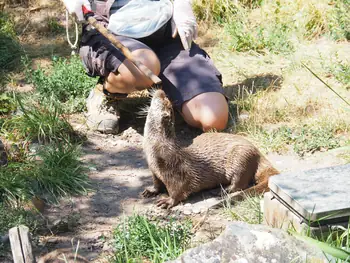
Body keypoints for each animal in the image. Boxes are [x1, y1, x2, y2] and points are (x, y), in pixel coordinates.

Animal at [141, 89, 280, 209]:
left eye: (164, 99)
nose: (161, 91)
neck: (157, 149)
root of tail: (258, 153)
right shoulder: (154, 170)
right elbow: (157, 183)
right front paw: (151, 191)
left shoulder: (176, 169)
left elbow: (178, 189)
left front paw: (168, 201)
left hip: (241, 158)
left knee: (240, 183)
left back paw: (223, 190)